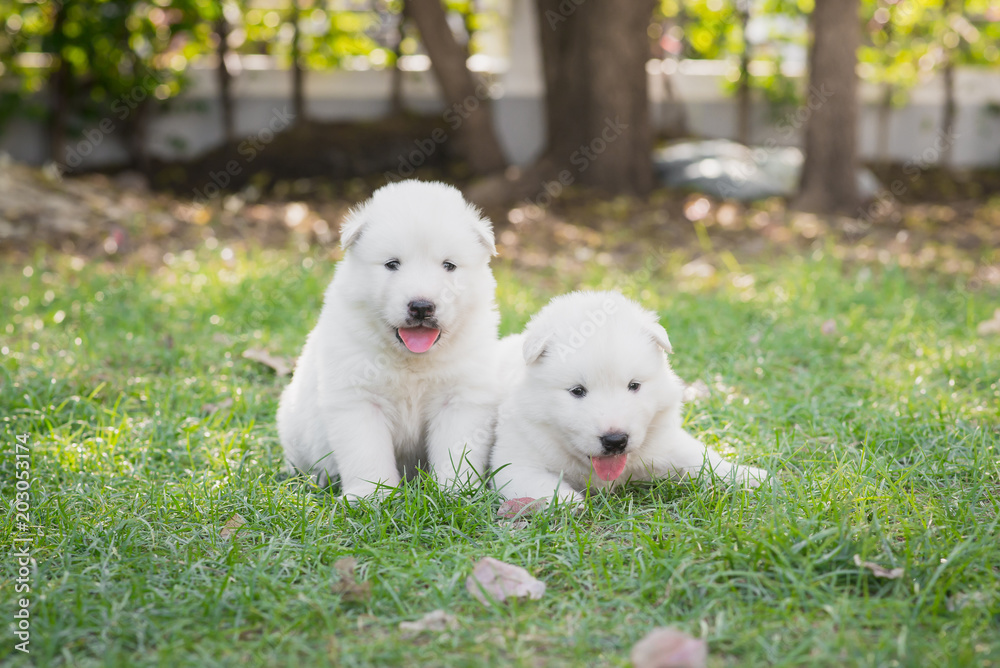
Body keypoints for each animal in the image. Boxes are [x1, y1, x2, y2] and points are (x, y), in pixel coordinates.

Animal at [278, 180, 504, 498]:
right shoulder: (359, 399)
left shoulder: (461, 398)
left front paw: (455, 491)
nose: (421, 306)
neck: (412, 359)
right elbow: (366, 453)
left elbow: (456, 450)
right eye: (392, 264)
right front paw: (371, 495)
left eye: (448, 265)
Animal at [490, 290, 764, 504]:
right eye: (577, 391)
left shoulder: (668, 443)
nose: (615, 441)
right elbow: (537, 483)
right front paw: (566, 501)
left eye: (634, 386)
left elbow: (704, 459)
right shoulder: (515, 461)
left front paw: (752, 476)